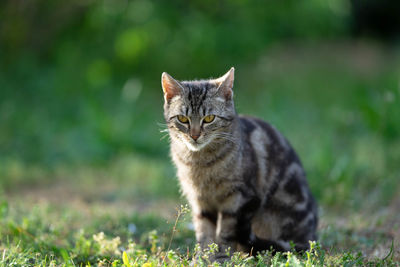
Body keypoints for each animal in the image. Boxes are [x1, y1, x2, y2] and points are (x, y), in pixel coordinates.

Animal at [161, 67, 318, 262]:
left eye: (209, 118)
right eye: (183, 119)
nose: (195, 135)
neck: (201, 163)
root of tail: (311, 236)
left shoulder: (238, 198)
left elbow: (226, 232)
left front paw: (222, 256)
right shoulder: (200, 201)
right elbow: (204, 232)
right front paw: (202, 257)